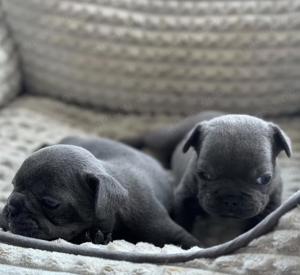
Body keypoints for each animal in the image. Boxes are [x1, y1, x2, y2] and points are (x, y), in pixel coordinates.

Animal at [121, 113, 290, 247]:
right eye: (204, 175)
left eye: (264, 179)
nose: (231, 198)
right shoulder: (184, 198)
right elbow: (183, 219)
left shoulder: (271, 203)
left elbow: (259, 223)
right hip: (167, 137)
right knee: (151, 139)